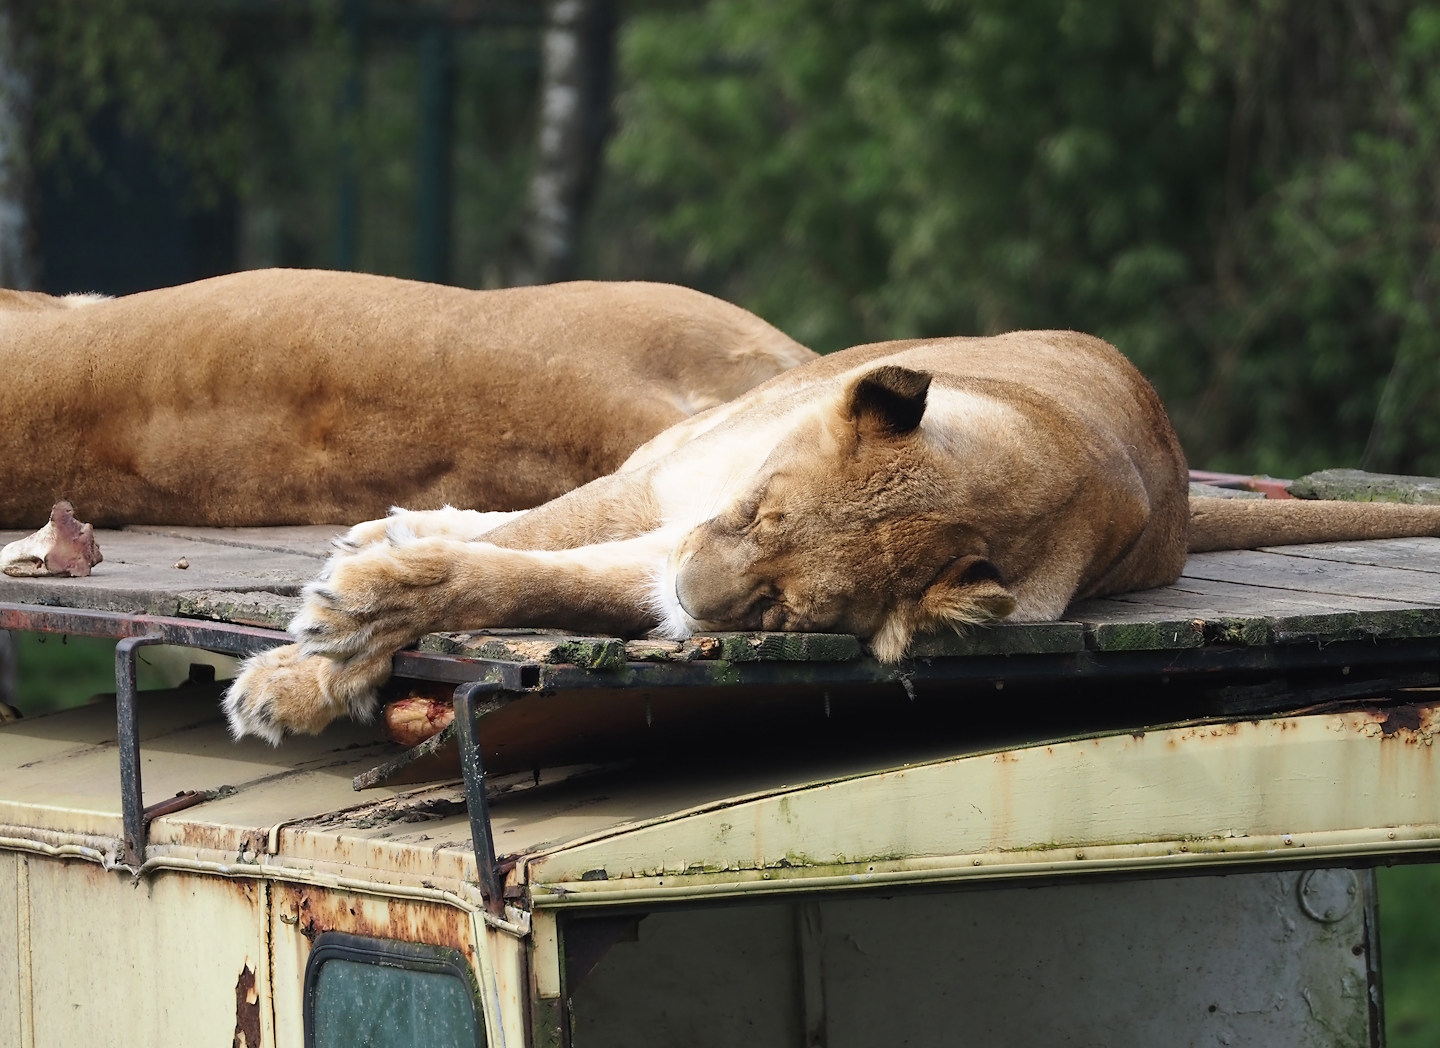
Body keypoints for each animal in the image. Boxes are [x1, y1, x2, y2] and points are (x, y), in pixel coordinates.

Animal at [224, 330, 1440, 744]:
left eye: (785, 611)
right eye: (762, 510)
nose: (692, 601)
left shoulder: (670, 556)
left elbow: (510, 583)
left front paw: (334, 635)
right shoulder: (676, 501)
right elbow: (518, 542)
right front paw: (316, 649)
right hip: (678, 442)